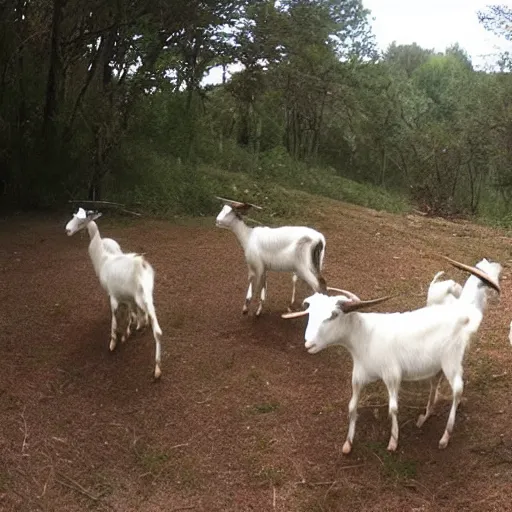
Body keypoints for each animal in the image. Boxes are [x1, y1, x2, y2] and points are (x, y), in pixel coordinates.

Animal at [65, 208, 163, 380]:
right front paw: (129, 331)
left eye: (81, 219)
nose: (67, 230)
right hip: (147, 297)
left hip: (141, 297)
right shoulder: (126, 296)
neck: (102, 258)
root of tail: (142, 266)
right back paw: (157, 368)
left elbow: (114, 319)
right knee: (157, 330)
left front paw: (113, 342)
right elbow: (129, 314)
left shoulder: (113, 295)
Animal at [282, 258, 502, 454]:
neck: (365, 336)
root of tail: (463, 310)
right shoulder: (358, 376)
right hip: (439, 364)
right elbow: (352, 406)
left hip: (451, 359)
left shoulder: (392, 375)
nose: (309, 343)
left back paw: (445, 437)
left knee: (457, 390)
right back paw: (425, 416)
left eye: (333, 315)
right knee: (436, 384)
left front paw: (393, 441)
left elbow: (393, 408)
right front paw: (347, 444)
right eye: (310, 313)